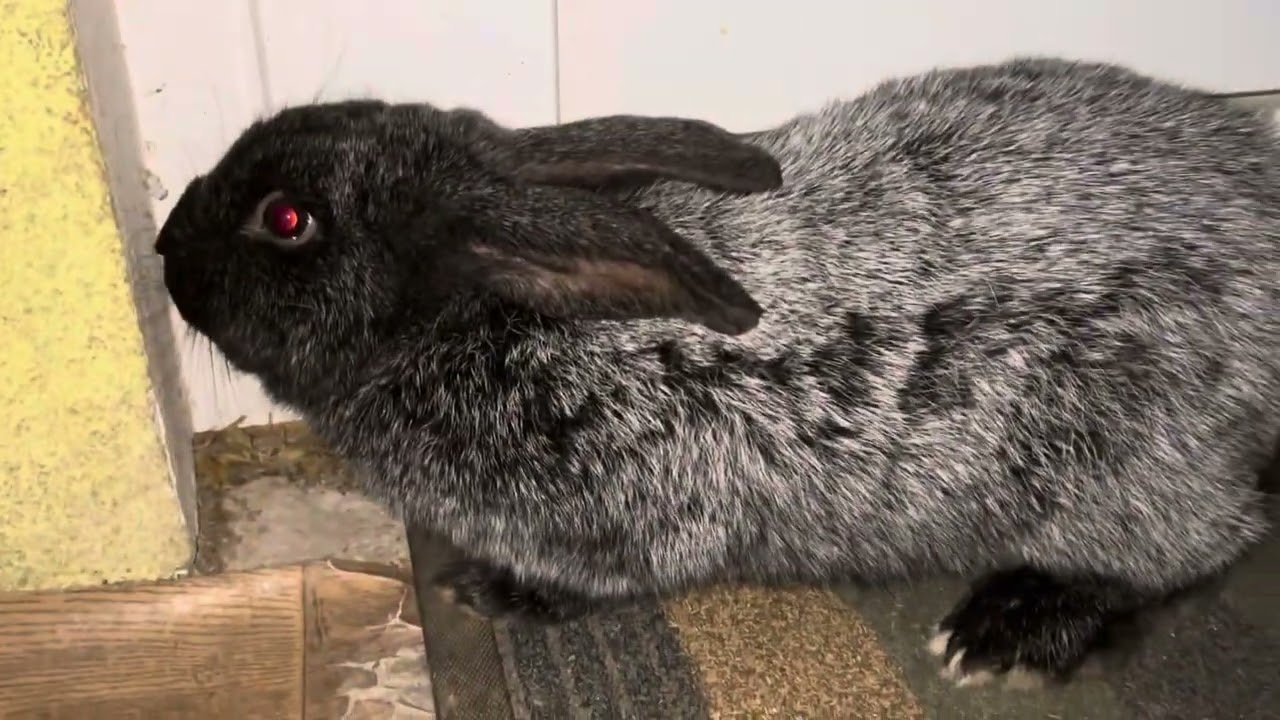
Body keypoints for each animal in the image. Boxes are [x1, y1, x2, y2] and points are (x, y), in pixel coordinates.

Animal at [156, 56, 1280, 688]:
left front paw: (488, 591)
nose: (164, 247)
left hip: (1117, 457)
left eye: (287, 220)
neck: (489, 316)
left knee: (1195, 545)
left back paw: (1003, 629)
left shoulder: (630, 520)